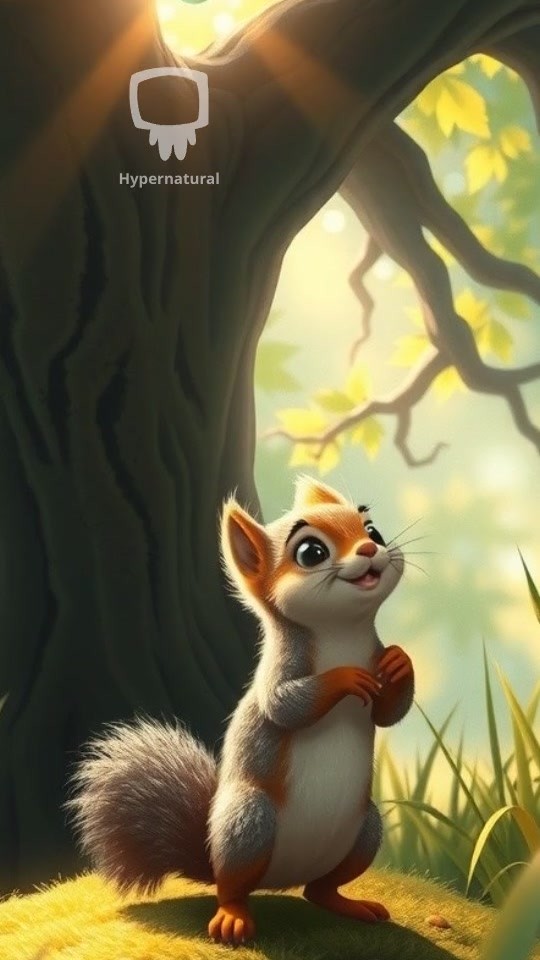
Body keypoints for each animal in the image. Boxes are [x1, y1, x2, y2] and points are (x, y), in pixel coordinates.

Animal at [67, 476, 414, 946]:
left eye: (373, 531)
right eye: (311, 552)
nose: (369, 550)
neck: (342, 632)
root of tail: (277, 882)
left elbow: (388, 713)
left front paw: (401, 661)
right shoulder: (280, 672)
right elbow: (285, 705)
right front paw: (344, 678)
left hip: (365, 831)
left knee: (319, 890)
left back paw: (350, 905)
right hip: (248, 823)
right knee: (232, 888)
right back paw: (232, 918)